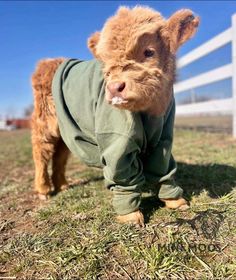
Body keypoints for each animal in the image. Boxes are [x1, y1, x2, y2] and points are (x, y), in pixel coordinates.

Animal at [30, 6, 198, 225]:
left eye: (149, 51)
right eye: (106, 61)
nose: (114, 88)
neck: (150, 111)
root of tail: (49, 62)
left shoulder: (163, 139)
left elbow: (163, 170)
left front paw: (176, 202)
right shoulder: (117, 141)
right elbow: (123, 176)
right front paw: (130, 216)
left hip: (65, 127)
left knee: (60, 155)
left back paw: (63, 185)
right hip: (44, 121)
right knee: (41, 151)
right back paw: (43, 190)